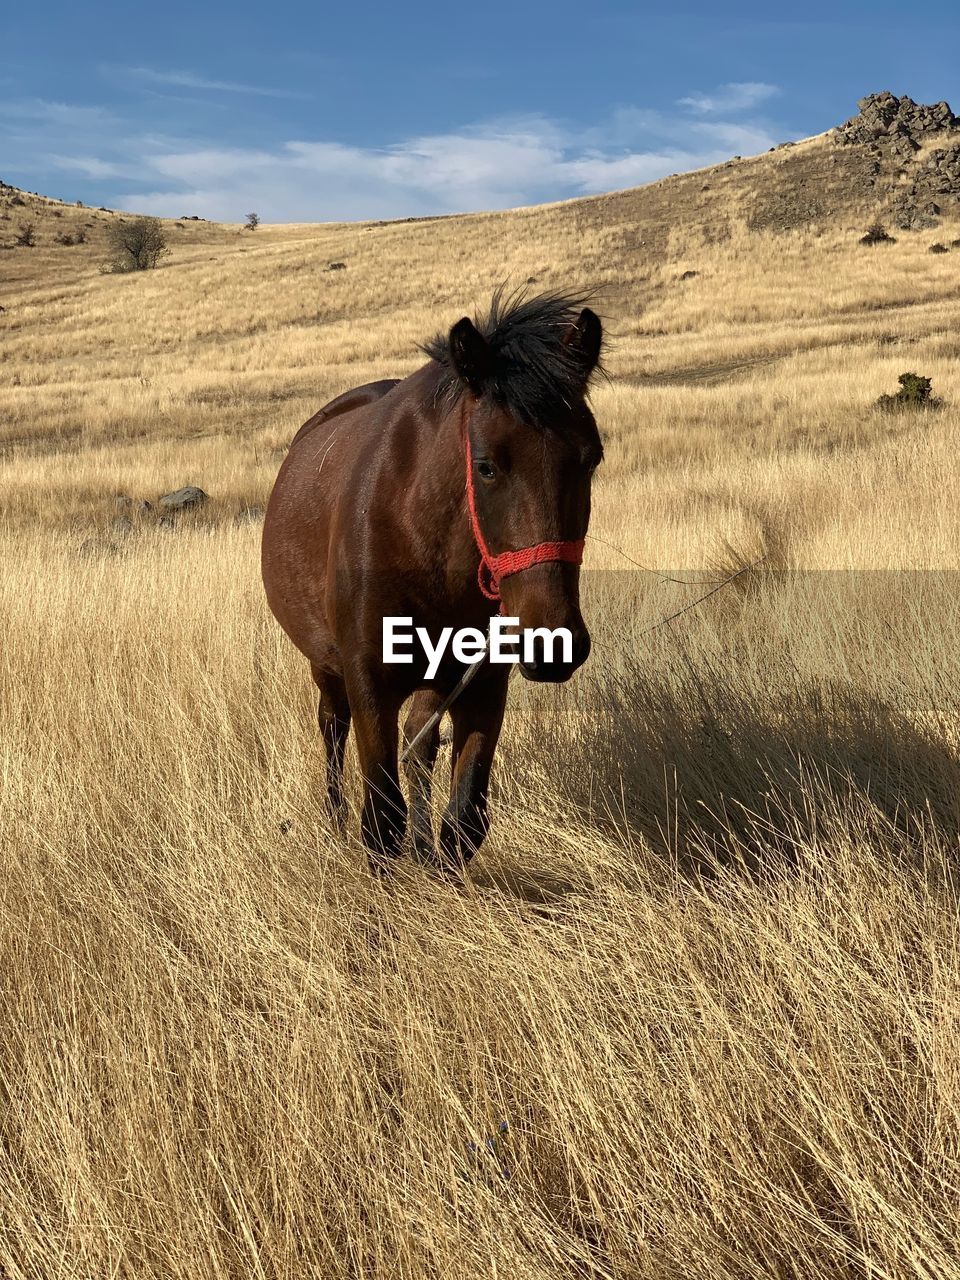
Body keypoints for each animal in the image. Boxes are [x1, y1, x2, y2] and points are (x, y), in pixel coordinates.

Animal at [261, 290, 604, 875]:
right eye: (486, 465)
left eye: (591, 459)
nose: (552, 644)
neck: (421, 537)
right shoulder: (369, 682)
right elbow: (381, 821)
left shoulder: (484, 682)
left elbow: (464, 820)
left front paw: (437, 870)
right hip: (326, 668)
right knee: (332, 728)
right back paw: (333, 820)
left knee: (419, 744)